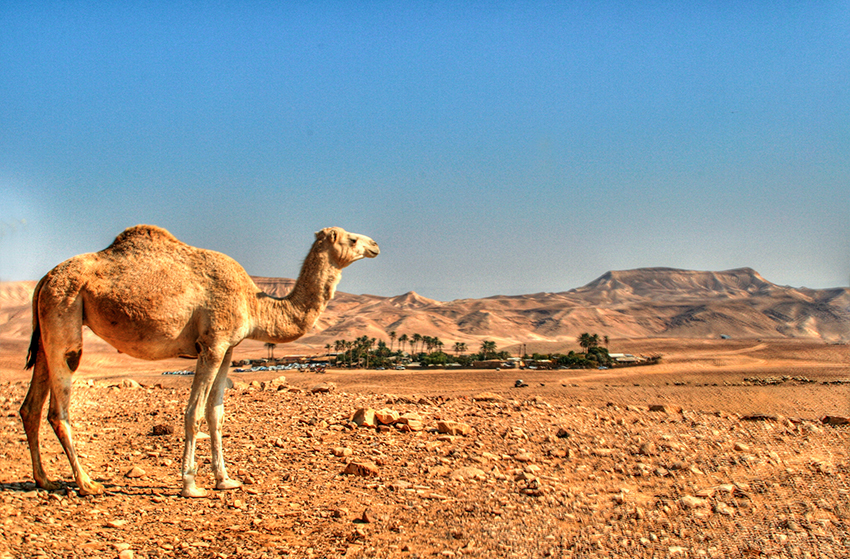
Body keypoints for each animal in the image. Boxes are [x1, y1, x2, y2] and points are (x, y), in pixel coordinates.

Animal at [20, 225, 378, 496]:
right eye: (351, 239)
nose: (375, 244)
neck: (255, 304)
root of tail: (43, 279)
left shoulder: (229, 348)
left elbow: (215, 413)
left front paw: (226, 480)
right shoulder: (213, 344)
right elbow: (193, 412)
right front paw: (190, 485)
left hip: (47, 327)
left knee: (30, 407)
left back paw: (44, 479)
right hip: (65, 313)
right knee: (58, 410)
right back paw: (87, 483)